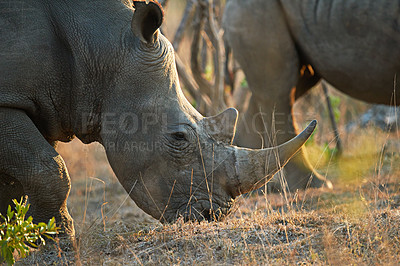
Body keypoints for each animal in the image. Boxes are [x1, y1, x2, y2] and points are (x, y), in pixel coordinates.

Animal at [0, 0, 318, 239]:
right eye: (179, 138)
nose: (213, 214)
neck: (100, 47)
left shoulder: (44, 105)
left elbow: (16, 182)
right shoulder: (9, 101)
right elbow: (49, 170)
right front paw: (57, 244)